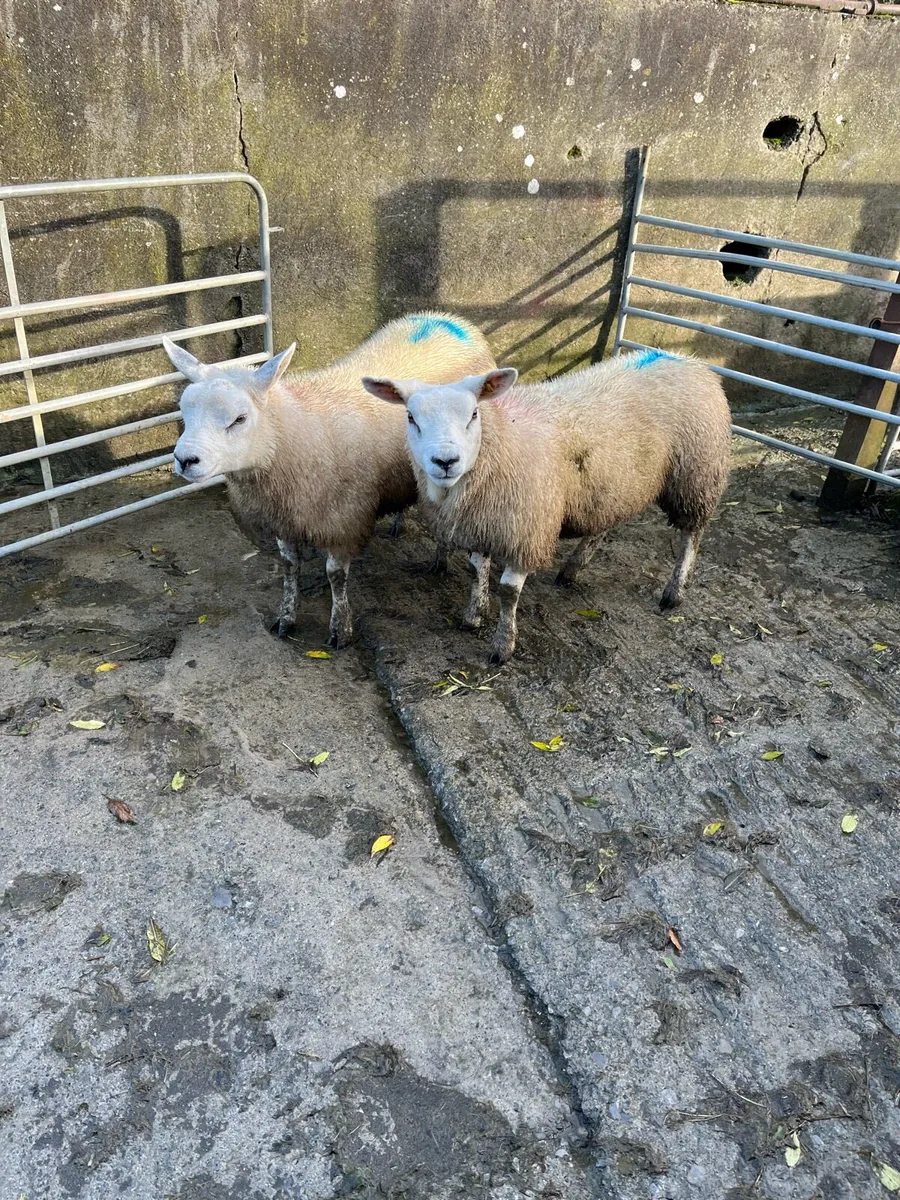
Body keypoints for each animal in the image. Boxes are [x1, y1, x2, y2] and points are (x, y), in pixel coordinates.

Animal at [163, 313, 495, 646]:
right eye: (183, 411)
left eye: (240, 419)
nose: (185, 460)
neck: (292, 433)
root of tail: (450, 319)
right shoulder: (285, 517)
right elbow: (289, 568)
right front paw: (286, 618)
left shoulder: (343, 519)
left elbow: (335, 575)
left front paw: (340, 628)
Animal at [362, 349, 732, 662]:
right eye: (411, 417)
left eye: (473, 414)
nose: (445, 461)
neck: (498, 441)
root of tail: (690, 361)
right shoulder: (484, 521)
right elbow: (475, 570)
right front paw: (473, 614)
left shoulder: (527, 526)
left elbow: (509, 591)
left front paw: (503, 646)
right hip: (615, 481)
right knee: (604, 524)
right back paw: (573, 568)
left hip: (696, 474)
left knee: (691, 535)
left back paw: (674, 592)